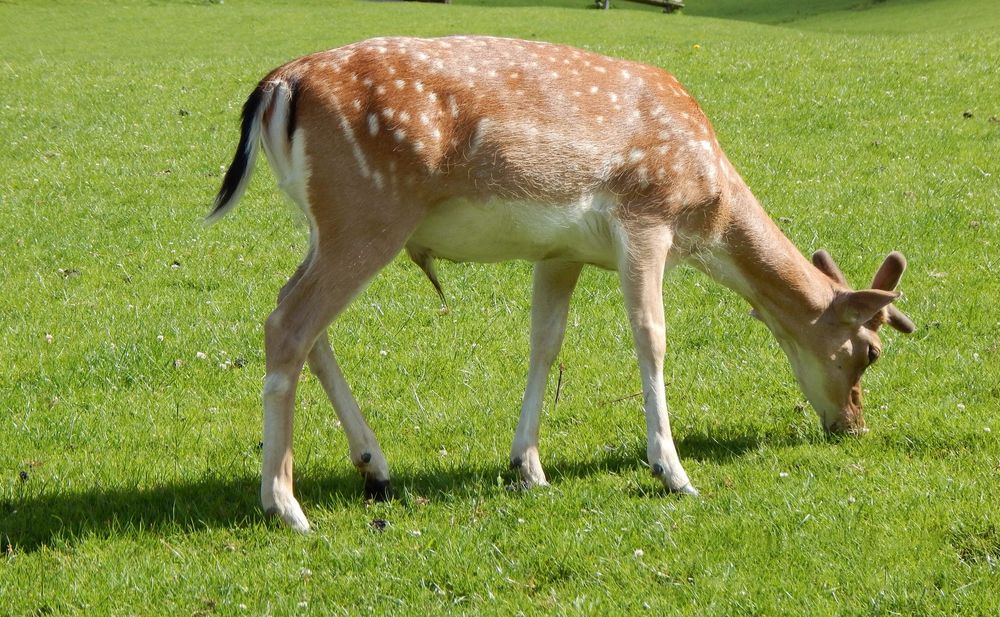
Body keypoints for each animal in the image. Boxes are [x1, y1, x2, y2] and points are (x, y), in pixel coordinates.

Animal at [209, 36, 916, 532]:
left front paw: (528, 466)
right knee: (289, 323)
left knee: (299, 318)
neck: (707, 208)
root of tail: (279, 84)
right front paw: (672, 471)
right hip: (367, 212)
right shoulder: (645, 218)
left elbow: (546, 343)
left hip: (324, 224)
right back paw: (285, 505)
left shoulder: (560, 252)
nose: (852, 425)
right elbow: (651, 336)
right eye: (870, 352)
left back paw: (375, 469)